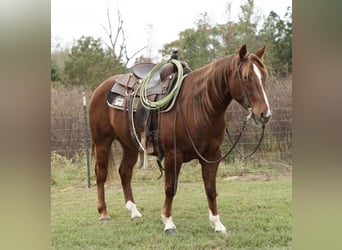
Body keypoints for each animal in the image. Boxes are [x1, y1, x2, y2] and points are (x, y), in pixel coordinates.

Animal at [89, 44, 272, 233]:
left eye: (264, 76)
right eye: (246, 77)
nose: (264, 114)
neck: (197, 106)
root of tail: (102, 87)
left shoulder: (212, 156)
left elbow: (211, 189)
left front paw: (217, 224)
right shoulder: (173, 155)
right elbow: (170, 188)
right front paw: (168, 222)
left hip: (130, 145)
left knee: (125, 172)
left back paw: (134, 211)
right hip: (102, 141)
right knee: (101, 174)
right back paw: (103, 213)